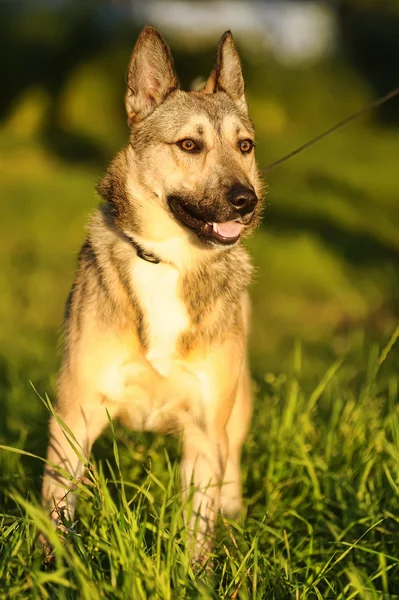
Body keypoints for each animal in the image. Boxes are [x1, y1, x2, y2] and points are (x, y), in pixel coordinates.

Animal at [42, 25, 264, 560]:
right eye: (189, 145)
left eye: (245, 145)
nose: (246, 201)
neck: (169, 261)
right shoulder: (74, 417)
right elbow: (56, 513)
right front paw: (49, 568)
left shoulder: (205, 431)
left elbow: (198, 533)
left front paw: (198, 571)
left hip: (237, 407)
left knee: (232, 464)